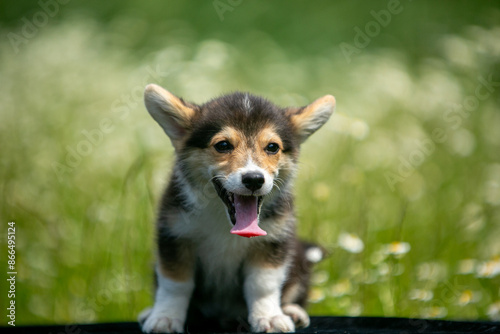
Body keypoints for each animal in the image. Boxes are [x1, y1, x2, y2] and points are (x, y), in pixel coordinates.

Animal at [141, 85, 336, 332]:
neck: (224, 221)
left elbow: (263, 284)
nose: (254, 179)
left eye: (272, 147)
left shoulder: (272, 242)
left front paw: (269, 317)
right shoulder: (174, 237)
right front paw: (164, 317)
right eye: (223, 145)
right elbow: (175, 284)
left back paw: (293, 311)